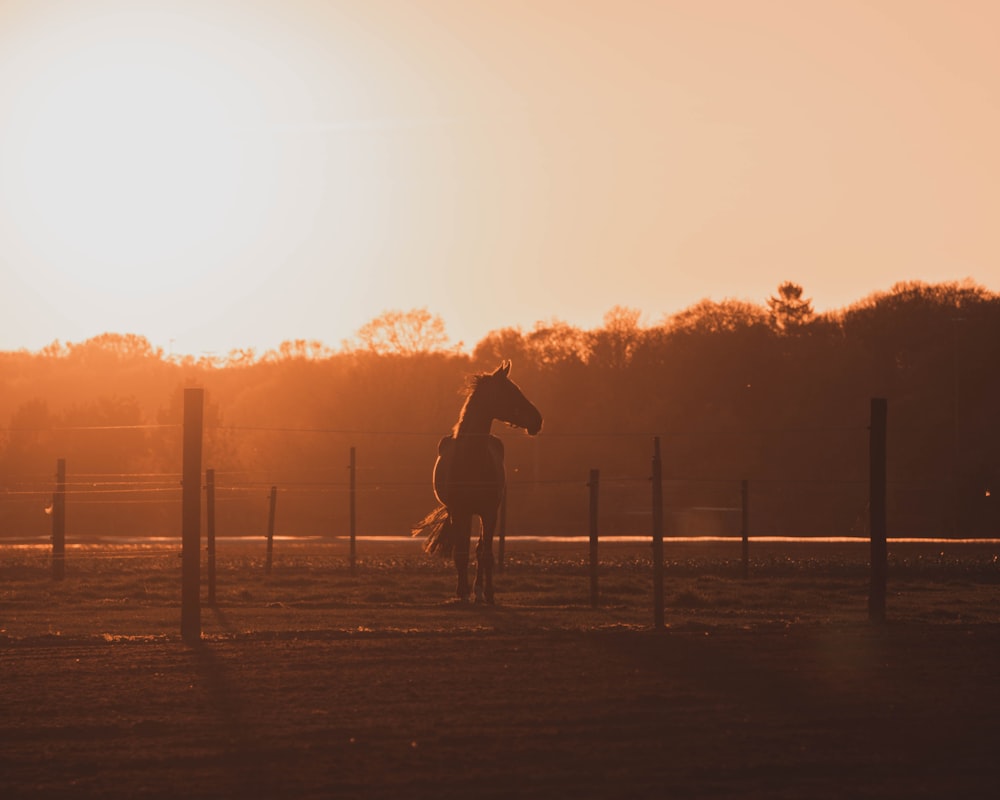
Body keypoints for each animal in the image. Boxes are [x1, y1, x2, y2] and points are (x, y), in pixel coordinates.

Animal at [412, 360, 544, 600]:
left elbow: (486, 554)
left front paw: (489, 593)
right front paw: (462, 592)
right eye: (511, 391)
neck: (471, 460)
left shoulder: (489, 512)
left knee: (480, 549)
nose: (538, 420)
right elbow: (461, 553)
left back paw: (479, 589)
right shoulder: (459, 511)